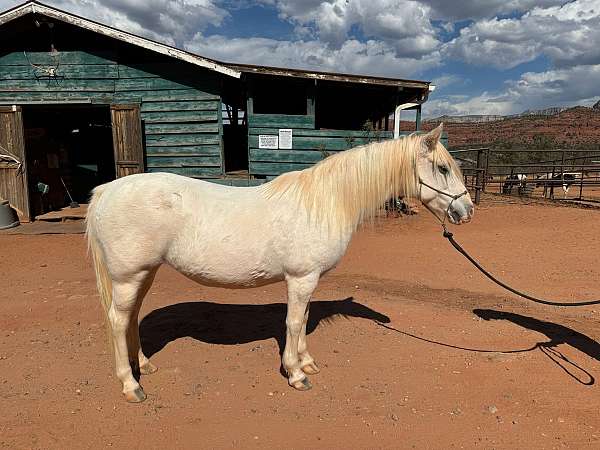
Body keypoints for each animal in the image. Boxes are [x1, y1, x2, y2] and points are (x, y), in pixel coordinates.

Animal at [85, 123, 474, 400]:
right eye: (443, 168)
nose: (467, 211)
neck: (326, 202)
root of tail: (106, 191)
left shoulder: (309, 279)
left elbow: (303, 320)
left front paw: (307, 362)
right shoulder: (301, 278)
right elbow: (293, 323)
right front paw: (296, 374)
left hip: (144, 274)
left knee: (132, 317)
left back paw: (144, 366)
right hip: (128, 276)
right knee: (118, 321)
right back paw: (131, 385)